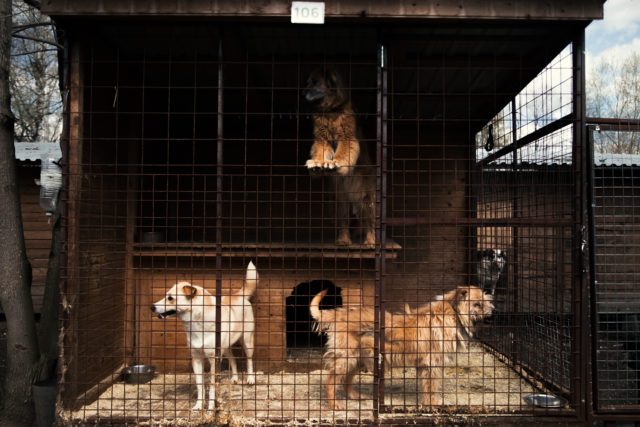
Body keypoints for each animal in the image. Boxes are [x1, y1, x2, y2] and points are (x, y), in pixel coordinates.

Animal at [151, 262, 258, 411]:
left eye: (170, 298)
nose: (152, 307)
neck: (196, 323)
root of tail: (239, 295)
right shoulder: (196, 358)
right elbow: (200, 385)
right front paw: (199, 405)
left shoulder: (213, 360)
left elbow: (212, 384)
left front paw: (211, 407)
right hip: (225, 347)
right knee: (233, 358)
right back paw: (235, 378)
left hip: (247, 341)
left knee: (249, 360)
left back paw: (250, 379)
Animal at [303, 68, 376, 247]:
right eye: (307, 82)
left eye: (314, 82)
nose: (302, 93)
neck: (330, 111)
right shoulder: (322, 138)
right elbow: (320, 152)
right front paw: (317, 163)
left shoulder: (346, 136)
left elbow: (342, 152)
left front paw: (336, 162)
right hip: (339, 200)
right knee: (343, 221)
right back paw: (343, 240)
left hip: (366, 200)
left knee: (369, 223)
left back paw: (370, 241)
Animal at [310, 286, 494, 410]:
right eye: (477, 304)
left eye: (486, 302)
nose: (491, 315)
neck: (453, 312)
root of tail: (339, 314)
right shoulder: (433, 364)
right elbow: (431, 387)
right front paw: (432, 404)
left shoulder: (425, 367)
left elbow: (426, 386)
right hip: (346, 358)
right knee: (330, 382)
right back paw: (335, 404)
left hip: (357, 359)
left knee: (346, 380)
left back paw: (355, 397)